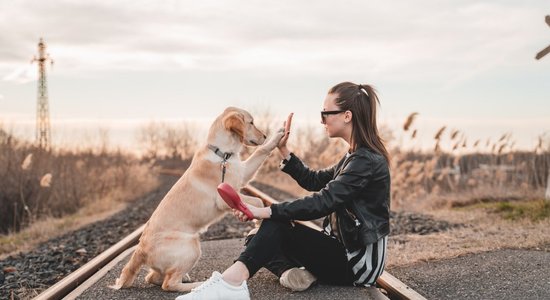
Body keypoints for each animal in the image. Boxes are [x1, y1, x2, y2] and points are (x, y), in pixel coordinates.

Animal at [110, 106, 286, 292]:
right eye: (251, 122)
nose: (265, 136)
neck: (223, 154)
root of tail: (140, 250)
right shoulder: (224, 197)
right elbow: (258, 201)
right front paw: (258, 222)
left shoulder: (243, 173)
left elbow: (261, 151)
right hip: (192, 245)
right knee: (168, 284)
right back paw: (200, 284)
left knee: (152, 277)